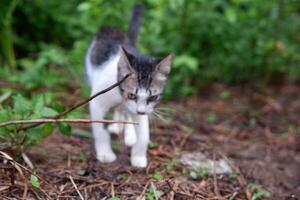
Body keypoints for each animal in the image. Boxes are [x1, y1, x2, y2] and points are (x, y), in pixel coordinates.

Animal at [85, 4, 172, 168]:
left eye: (153, 97)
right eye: (132, 94)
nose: (140, 111)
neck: (120, 96)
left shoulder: (144, 108)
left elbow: (143, 132)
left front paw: (138, 156)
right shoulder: (97, 101)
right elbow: (100, 129)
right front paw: (105, 154)